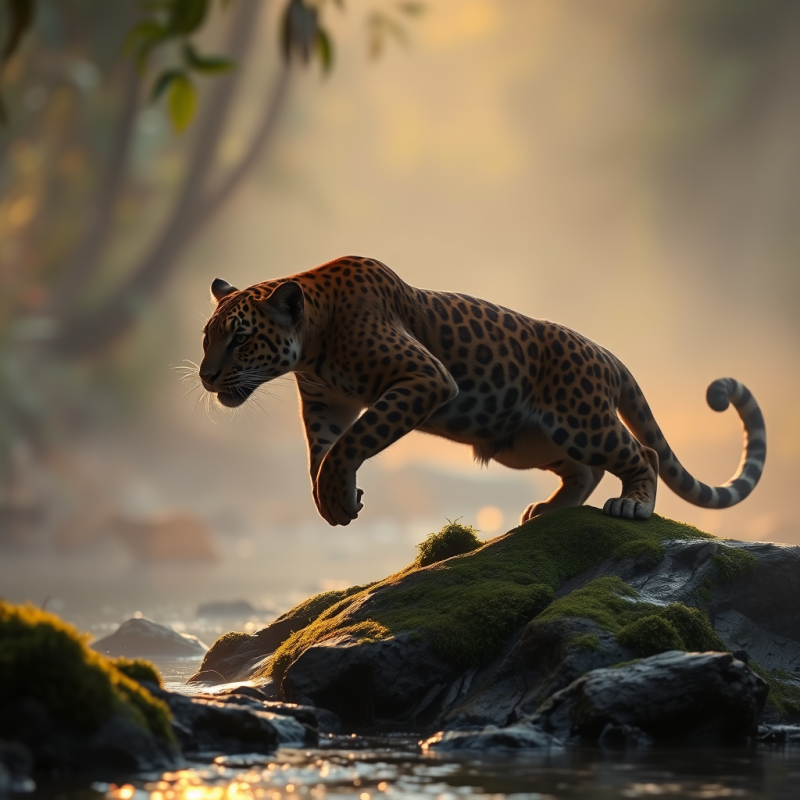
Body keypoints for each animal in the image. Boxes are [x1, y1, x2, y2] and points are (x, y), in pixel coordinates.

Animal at [198, 256, 766, 527]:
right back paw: (549, 512)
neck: (313, 342)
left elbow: (351, 444)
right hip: (528, 442)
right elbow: (323, 451)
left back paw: (633, 505)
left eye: (241, 338)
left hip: (582, 419)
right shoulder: (324, 402)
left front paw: (337, 492)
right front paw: (331, 499)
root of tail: (605, 352)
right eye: (207, 337)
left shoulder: (425, 378)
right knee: (585, 471)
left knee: (641, 452)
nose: (206, 375)